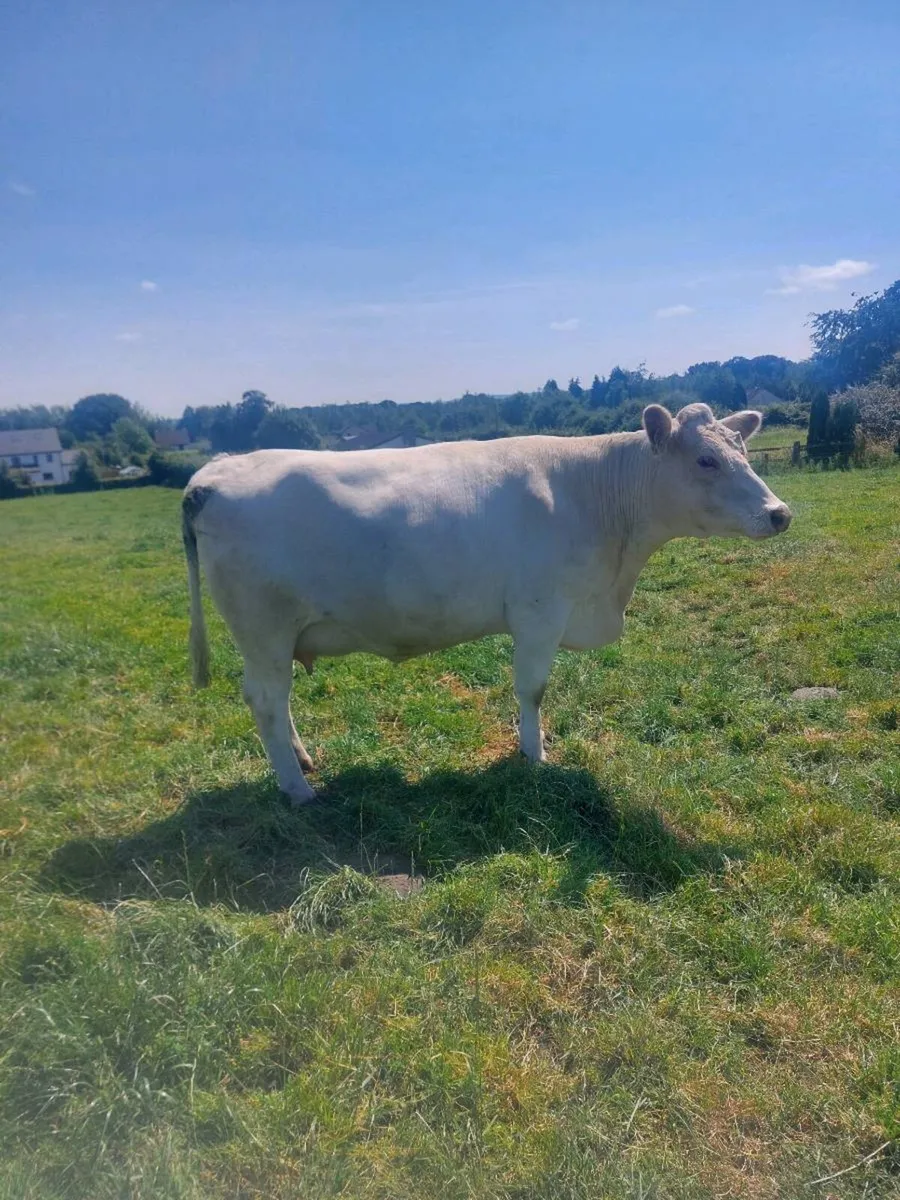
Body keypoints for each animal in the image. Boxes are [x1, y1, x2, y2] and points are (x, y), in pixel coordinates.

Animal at [183, 402, 791, 805]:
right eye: (706, 460)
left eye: (743, 451)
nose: (780, 512)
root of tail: (215, 471)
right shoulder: (540, 612)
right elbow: (533, 689)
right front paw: (535, 755)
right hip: (263, 628)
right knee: (266, 700)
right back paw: (297, 788)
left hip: (274, 637)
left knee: (277, 701)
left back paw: (303, 760)